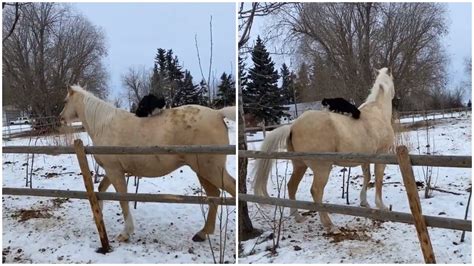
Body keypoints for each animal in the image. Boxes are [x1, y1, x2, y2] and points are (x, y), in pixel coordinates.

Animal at [60, 86, 236, 242]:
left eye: (65, 101)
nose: (60, 117)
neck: (103, 125)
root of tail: (217, 113)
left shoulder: (114, 171)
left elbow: (122, 200)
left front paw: (126, 233)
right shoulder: (113, 171)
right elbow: (101, 190)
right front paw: (99, 215)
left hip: (211, 170)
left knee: (232, 189)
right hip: (203, 171)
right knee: (214, 195)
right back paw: (203, 233)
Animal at [254, 68, 394, 233]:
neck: (378, 112)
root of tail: (293, 126)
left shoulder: (365, 159)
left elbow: (367, 177)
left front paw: (364, 202)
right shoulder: (381, 155)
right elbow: (378, 180)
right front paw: (381, 206)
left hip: (299, 165)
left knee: (291, 186)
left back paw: (297, 216)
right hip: (322, 169)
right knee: (316, 191)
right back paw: (330, 225)